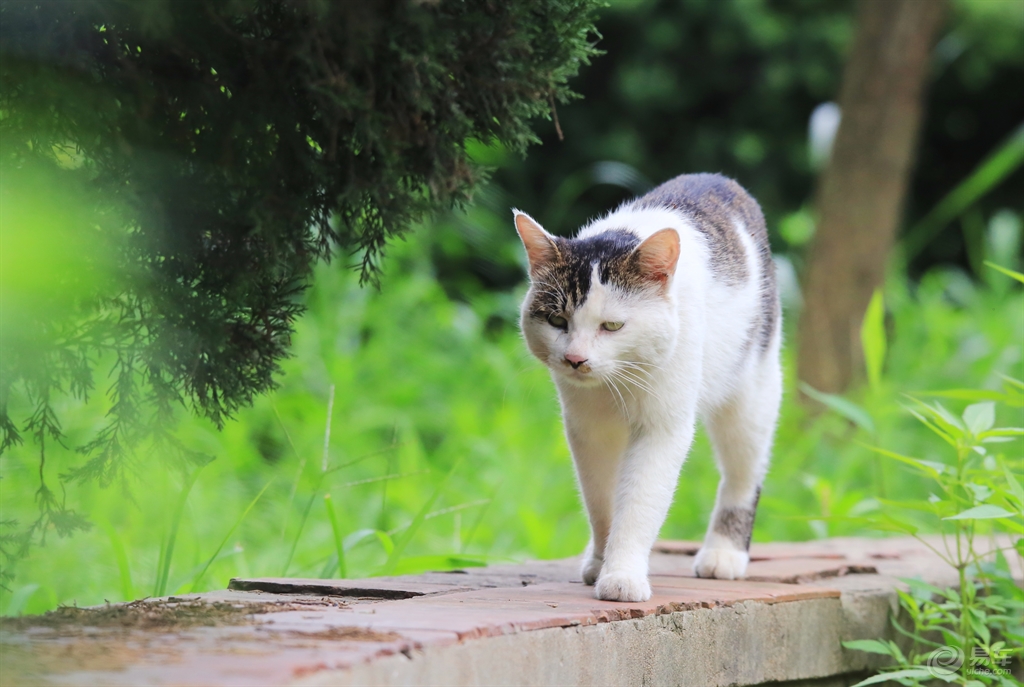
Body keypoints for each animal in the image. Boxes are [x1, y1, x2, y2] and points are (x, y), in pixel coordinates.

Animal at [516, 172, 778, 602]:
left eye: (612, 325)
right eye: (557, 320)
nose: (575, 359)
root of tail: (718, 179)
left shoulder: (663, 426)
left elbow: (639, 500)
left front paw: (621, 575)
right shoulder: (587, 428)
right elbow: (600, 499)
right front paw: (602, 561)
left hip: (752, 387)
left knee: (744, 471)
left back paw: (724, 553)